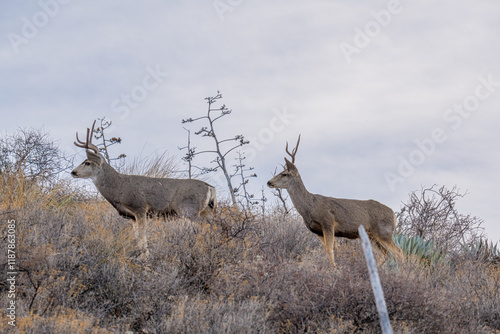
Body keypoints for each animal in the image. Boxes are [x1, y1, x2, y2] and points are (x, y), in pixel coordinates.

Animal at [71, 121, 217, 258]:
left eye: (87, 163)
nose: (73, 172)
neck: (119, 187)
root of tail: (209, 187)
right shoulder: (132, 216)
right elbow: (137, 236)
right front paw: (139, 253)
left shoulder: (140, 207)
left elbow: (142, 234)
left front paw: (145, 256)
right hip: (206, 211)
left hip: (190, 211)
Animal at [268, 136, 404, 266]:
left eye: (284, 174)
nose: (269, 182)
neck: (310, 207)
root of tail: (393, 214)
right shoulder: (317, 231)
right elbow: (326, 249)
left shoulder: (328, 223)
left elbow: (330, 249)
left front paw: (334, 270)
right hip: (371, 235)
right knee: (384, 253)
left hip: (384, 232)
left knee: (399, 252)